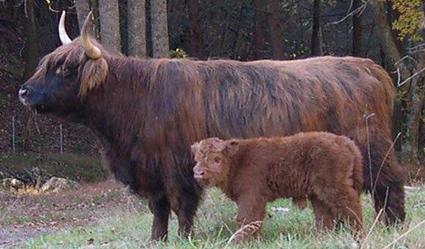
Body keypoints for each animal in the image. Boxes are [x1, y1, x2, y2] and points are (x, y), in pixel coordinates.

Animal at [190, 132, 362, 241]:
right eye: (197, 158)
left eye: (217, 159)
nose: (199, 173)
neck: (238, 160)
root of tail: (343, 140)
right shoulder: (256, 200)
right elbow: (255, 220)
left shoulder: (250, 197)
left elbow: (246, 219)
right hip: (317, 195)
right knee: (324, 217)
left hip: (334, 188)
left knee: (350, 206)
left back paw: (358, 234)